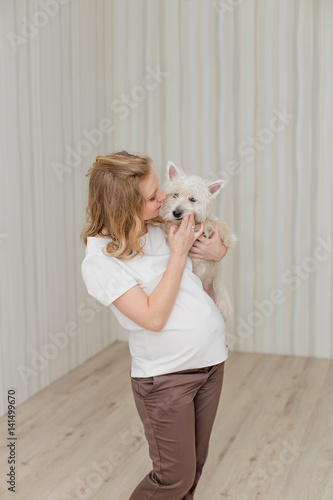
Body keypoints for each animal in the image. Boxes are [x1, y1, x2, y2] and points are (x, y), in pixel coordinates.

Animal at [160, 162, 237, 322]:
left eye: (192, 199)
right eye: (175, 195)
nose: (176, 213)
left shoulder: (212, 221)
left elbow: (217, 223)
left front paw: (228, 238)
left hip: (221, 298)